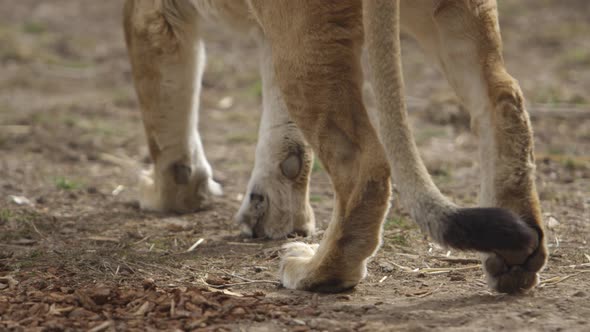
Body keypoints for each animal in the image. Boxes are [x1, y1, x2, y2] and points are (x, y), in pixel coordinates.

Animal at [123, 0, 552, 296]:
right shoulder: (267, 32)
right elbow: (284, 137)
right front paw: (274, 215)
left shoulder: (152, 10)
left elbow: (164, 114)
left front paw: (167, 194)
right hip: (452, 13)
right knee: (503, 101)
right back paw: (517, 259)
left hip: (305, 27)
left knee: (362, 161)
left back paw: (317, 272)